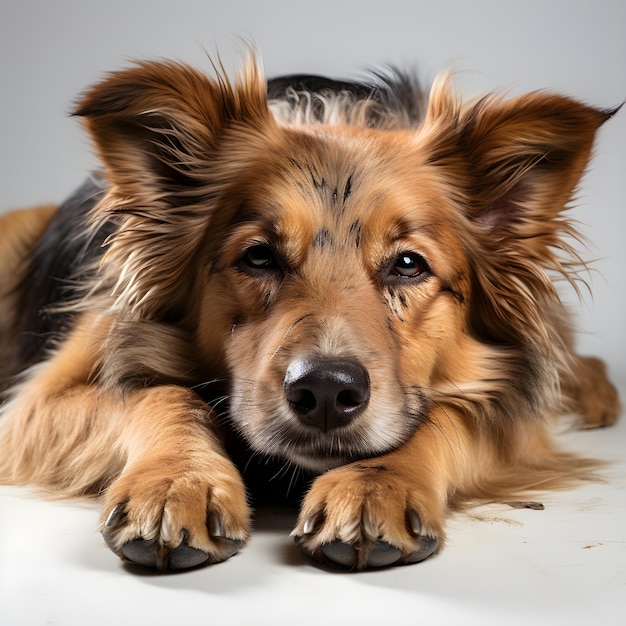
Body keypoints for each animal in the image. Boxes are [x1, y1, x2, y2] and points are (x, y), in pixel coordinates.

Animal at [0, 52, 616, 572]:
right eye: (258, 256)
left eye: (409, 265)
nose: (325, 391)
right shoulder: (38, 402)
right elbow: (162, 394)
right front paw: (178, 482)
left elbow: (447, 413)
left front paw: (375, 486)